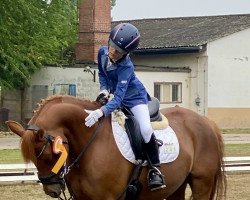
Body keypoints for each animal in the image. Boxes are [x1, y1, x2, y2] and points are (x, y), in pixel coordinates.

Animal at [6, 95, 228, 200]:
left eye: (47, 156)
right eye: (34, 161)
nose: (51, 190)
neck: (90, 142)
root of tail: (207, 122)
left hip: (201, 182)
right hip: (177, 184)